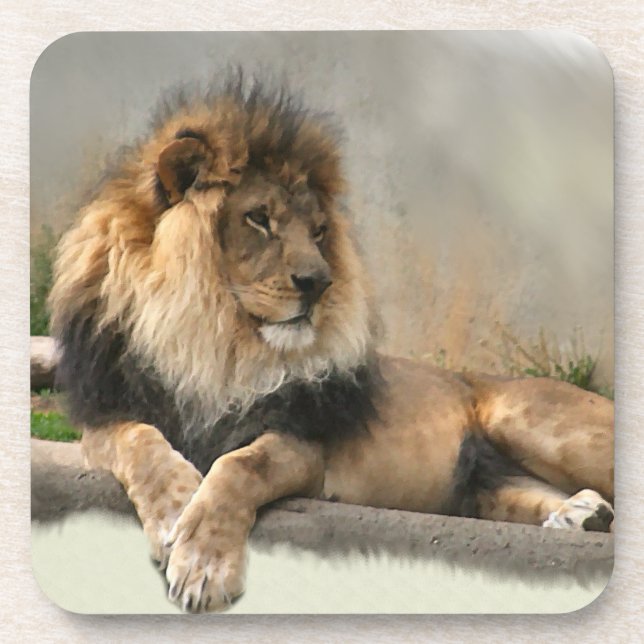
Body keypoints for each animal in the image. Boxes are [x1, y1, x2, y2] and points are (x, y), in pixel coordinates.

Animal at [48, 77, 614, 613]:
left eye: (318, 231)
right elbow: (139, 443)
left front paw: (204, 564)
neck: (210, 342)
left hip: (527, 420)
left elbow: (239, 467)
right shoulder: (105, 415)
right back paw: (581, 515)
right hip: (490, 488)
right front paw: (174, 508)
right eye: (259, 218)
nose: (319, 283)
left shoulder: (303, 442)